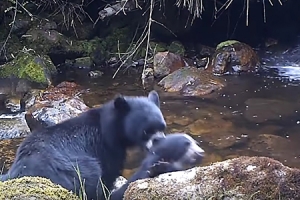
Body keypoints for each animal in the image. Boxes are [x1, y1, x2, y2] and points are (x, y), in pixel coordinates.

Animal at [0, 90, 166, 200]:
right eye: (146, 131)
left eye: (162, 127)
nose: (160, 141)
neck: (111, 130)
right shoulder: (106, 150)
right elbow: (108, 176)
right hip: (78, 170)